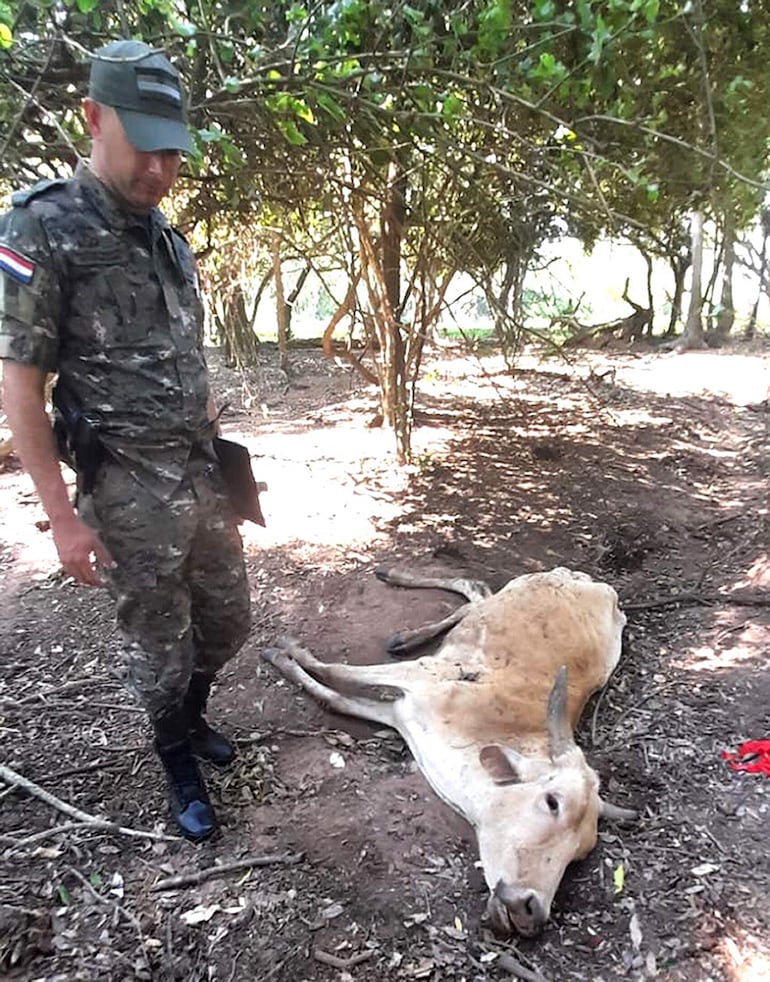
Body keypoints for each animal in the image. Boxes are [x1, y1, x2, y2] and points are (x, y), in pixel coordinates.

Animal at [260, 564, 632, 936]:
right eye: (553, 802)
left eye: (580, 853)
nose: (532, 910)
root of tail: (593, 583)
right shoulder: (421, 679)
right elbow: (334, 671)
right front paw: (283, 649)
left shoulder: (399, 712)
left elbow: (334, 696)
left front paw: (286, 656)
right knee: (475, 590)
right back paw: (398, 601)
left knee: (476, 592)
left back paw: (405, 625)